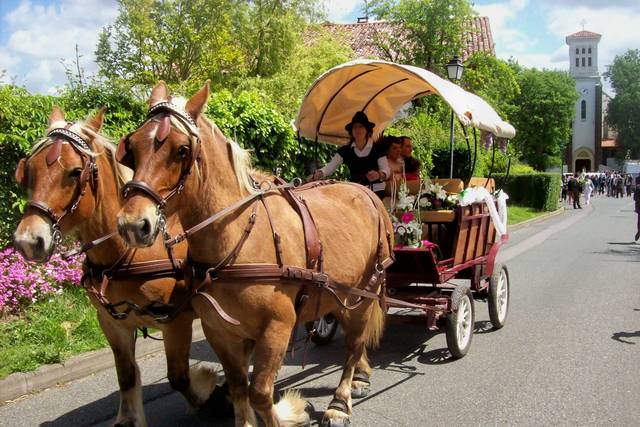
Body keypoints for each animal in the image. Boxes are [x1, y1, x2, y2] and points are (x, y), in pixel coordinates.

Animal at [11, 106, 228, 427]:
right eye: (29, 171)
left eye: (75, 172)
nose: (28, 240)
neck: (127, 253)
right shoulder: (112, 322)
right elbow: (126, 376)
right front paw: (129, 417)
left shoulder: (176, 319)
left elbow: (178, 376)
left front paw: (211, 395)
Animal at [117, 81, 392, 427]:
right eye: (132, 147)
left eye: (181, 150)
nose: (131, 224)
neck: (238, 240)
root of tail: (365, 191)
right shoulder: (219, 331)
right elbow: (238, 386)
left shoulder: (277, 328)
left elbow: (260, 393)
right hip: (339, 293)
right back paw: (359, 378)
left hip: (365, 291)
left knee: (354, 343)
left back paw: (340, 400)